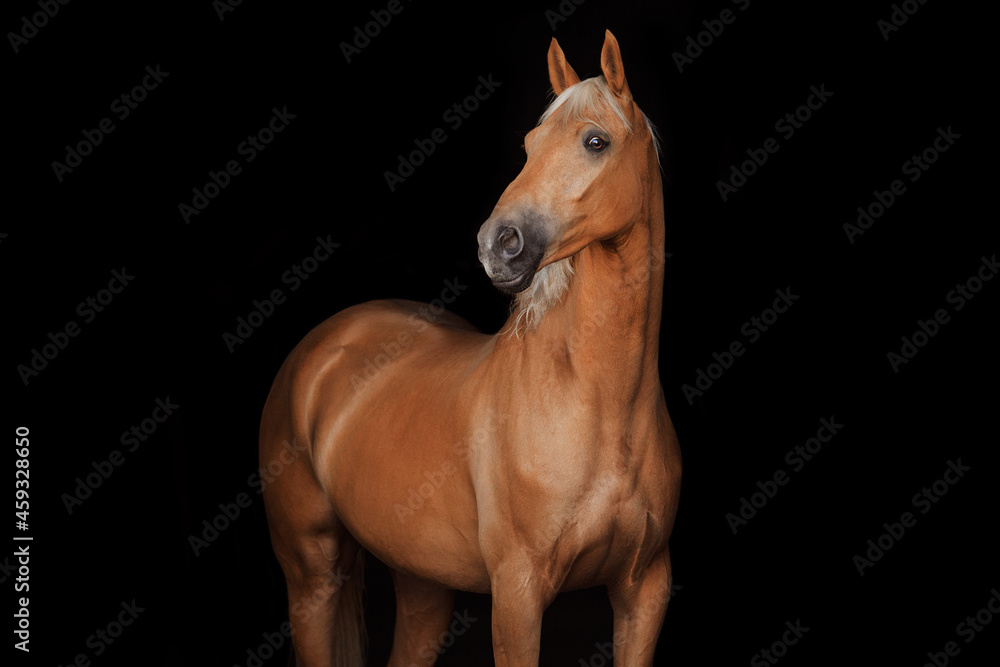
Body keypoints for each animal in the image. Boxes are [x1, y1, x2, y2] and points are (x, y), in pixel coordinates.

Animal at [260, 30, 681, 666]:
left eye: (595, 141)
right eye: (530, 144)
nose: (497, 244)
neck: (600, 407)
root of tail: (321, 345)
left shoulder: (644, 590)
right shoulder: (517, 596)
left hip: (422, 583)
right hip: (311, 577)